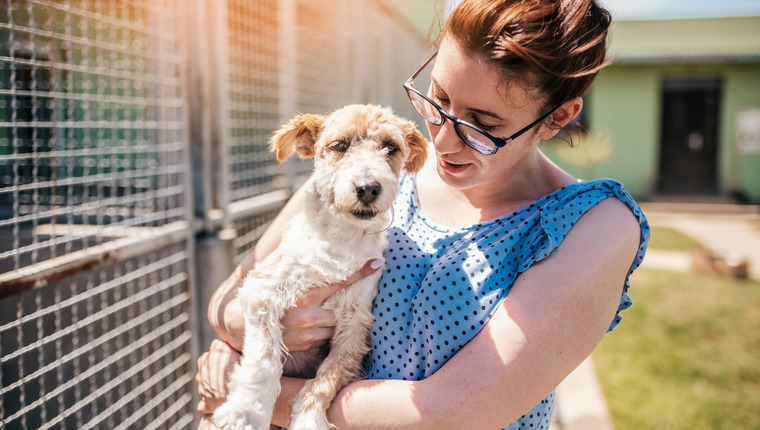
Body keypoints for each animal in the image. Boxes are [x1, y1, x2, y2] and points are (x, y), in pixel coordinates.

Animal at [212, 105, 428, 430]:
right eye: (339, 146)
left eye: (391, 147)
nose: (368, 188)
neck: (340, 240)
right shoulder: (261, 291)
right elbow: (264, 360)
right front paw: (246, 412)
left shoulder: (354, 325)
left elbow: (326, 379)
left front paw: (309, 419)